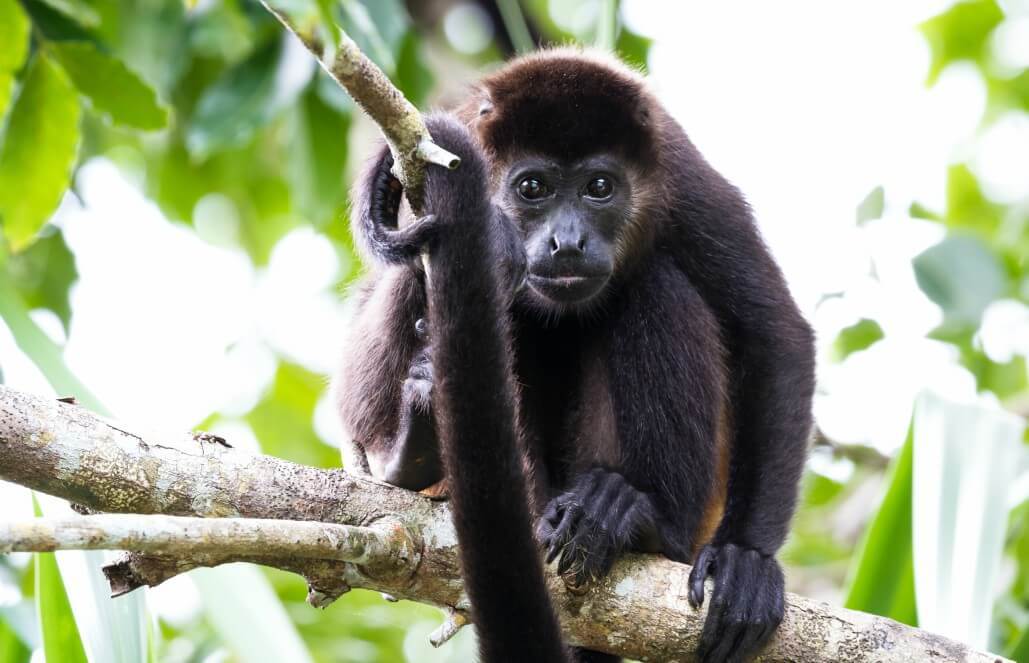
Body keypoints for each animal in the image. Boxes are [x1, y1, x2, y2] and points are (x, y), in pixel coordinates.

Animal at [335, 48, 816, 663]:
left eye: (599, 187)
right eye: (533, 187)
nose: (567, 242)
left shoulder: (684, 179)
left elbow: (774, 334)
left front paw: (747, 558)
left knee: (656, 285)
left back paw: (636, 517)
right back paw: (414, 454)